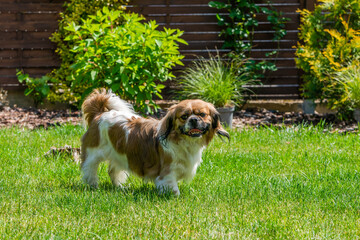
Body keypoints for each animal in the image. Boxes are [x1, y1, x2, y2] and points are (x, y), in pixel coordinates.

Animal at [80, 89, 229, 196]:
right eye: (184, 117)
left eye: (202, 115)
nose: (193, 119)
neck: (185, 142)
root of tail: (100, 113)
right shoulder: (168, 172)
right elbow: (172, 187)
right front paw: (176, 197)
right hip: (93, 154)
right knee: (89, 169)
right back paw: (93, 186)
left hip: (120, 155)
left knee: (113, 171)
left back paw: (120, 187)